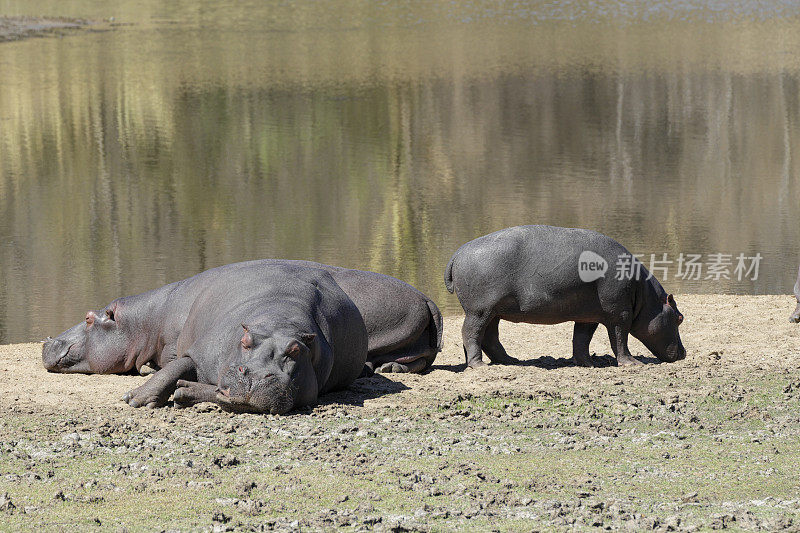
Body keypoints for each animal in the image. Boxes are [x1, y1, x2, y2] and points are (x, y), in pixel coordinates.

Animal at [120, 264, 368, 414]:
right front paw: (134, 399)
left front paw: (182, 391)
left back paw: (184, 391)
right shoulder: (201, 352)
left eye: (295, 350)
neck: (278, 319)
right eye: (245, 341)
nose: (255, 376)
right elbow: (173, 369)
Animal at [444, 223, 688, 366]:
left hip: (494, 312)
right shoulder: (620, 314)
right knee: (471, 333)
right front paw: (633, 364)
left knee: (490, 337)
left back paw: (510, 361)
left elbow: (581, 339)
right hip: (479, 311)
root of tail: (457, 252)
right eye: (680, 318)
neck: (645, 297)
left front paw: (587, 364)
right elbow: (620, 338)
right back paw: (479, 365)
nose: (684, 353)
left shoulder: (588, 315)